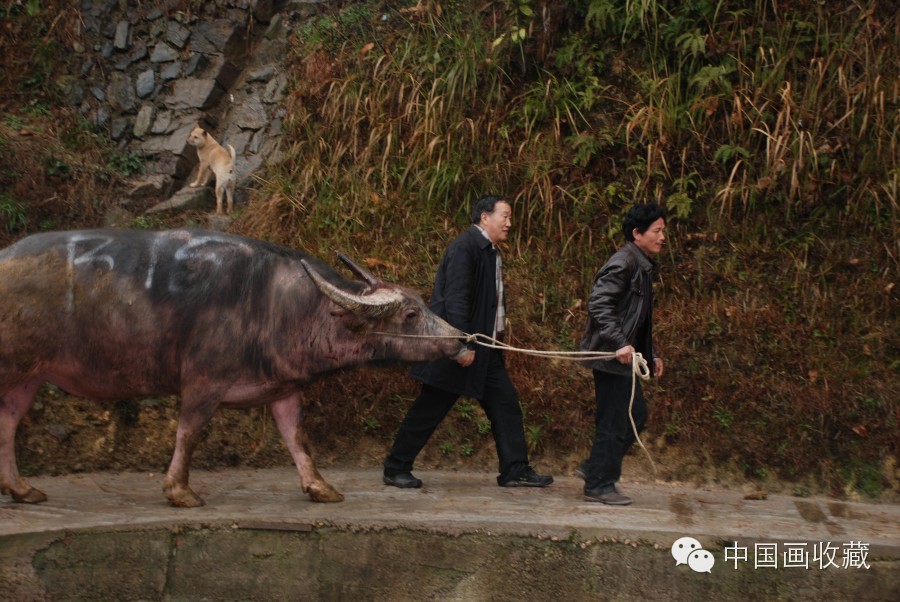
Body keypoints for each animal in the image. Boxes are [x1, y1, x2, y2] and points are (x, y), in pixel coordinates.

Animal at [0, 227, 468, 504]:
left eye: (421, 302)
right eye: (410, 314)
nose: (462, 340)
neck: (278, 306)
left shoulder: (284, 388)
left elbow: (297, 437)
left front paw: (320, 487)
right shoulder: (203, 381)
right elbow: (189, 432)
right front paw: (180, 491)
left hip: (29, 376)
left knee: (8, 423)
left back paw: (22, 489)